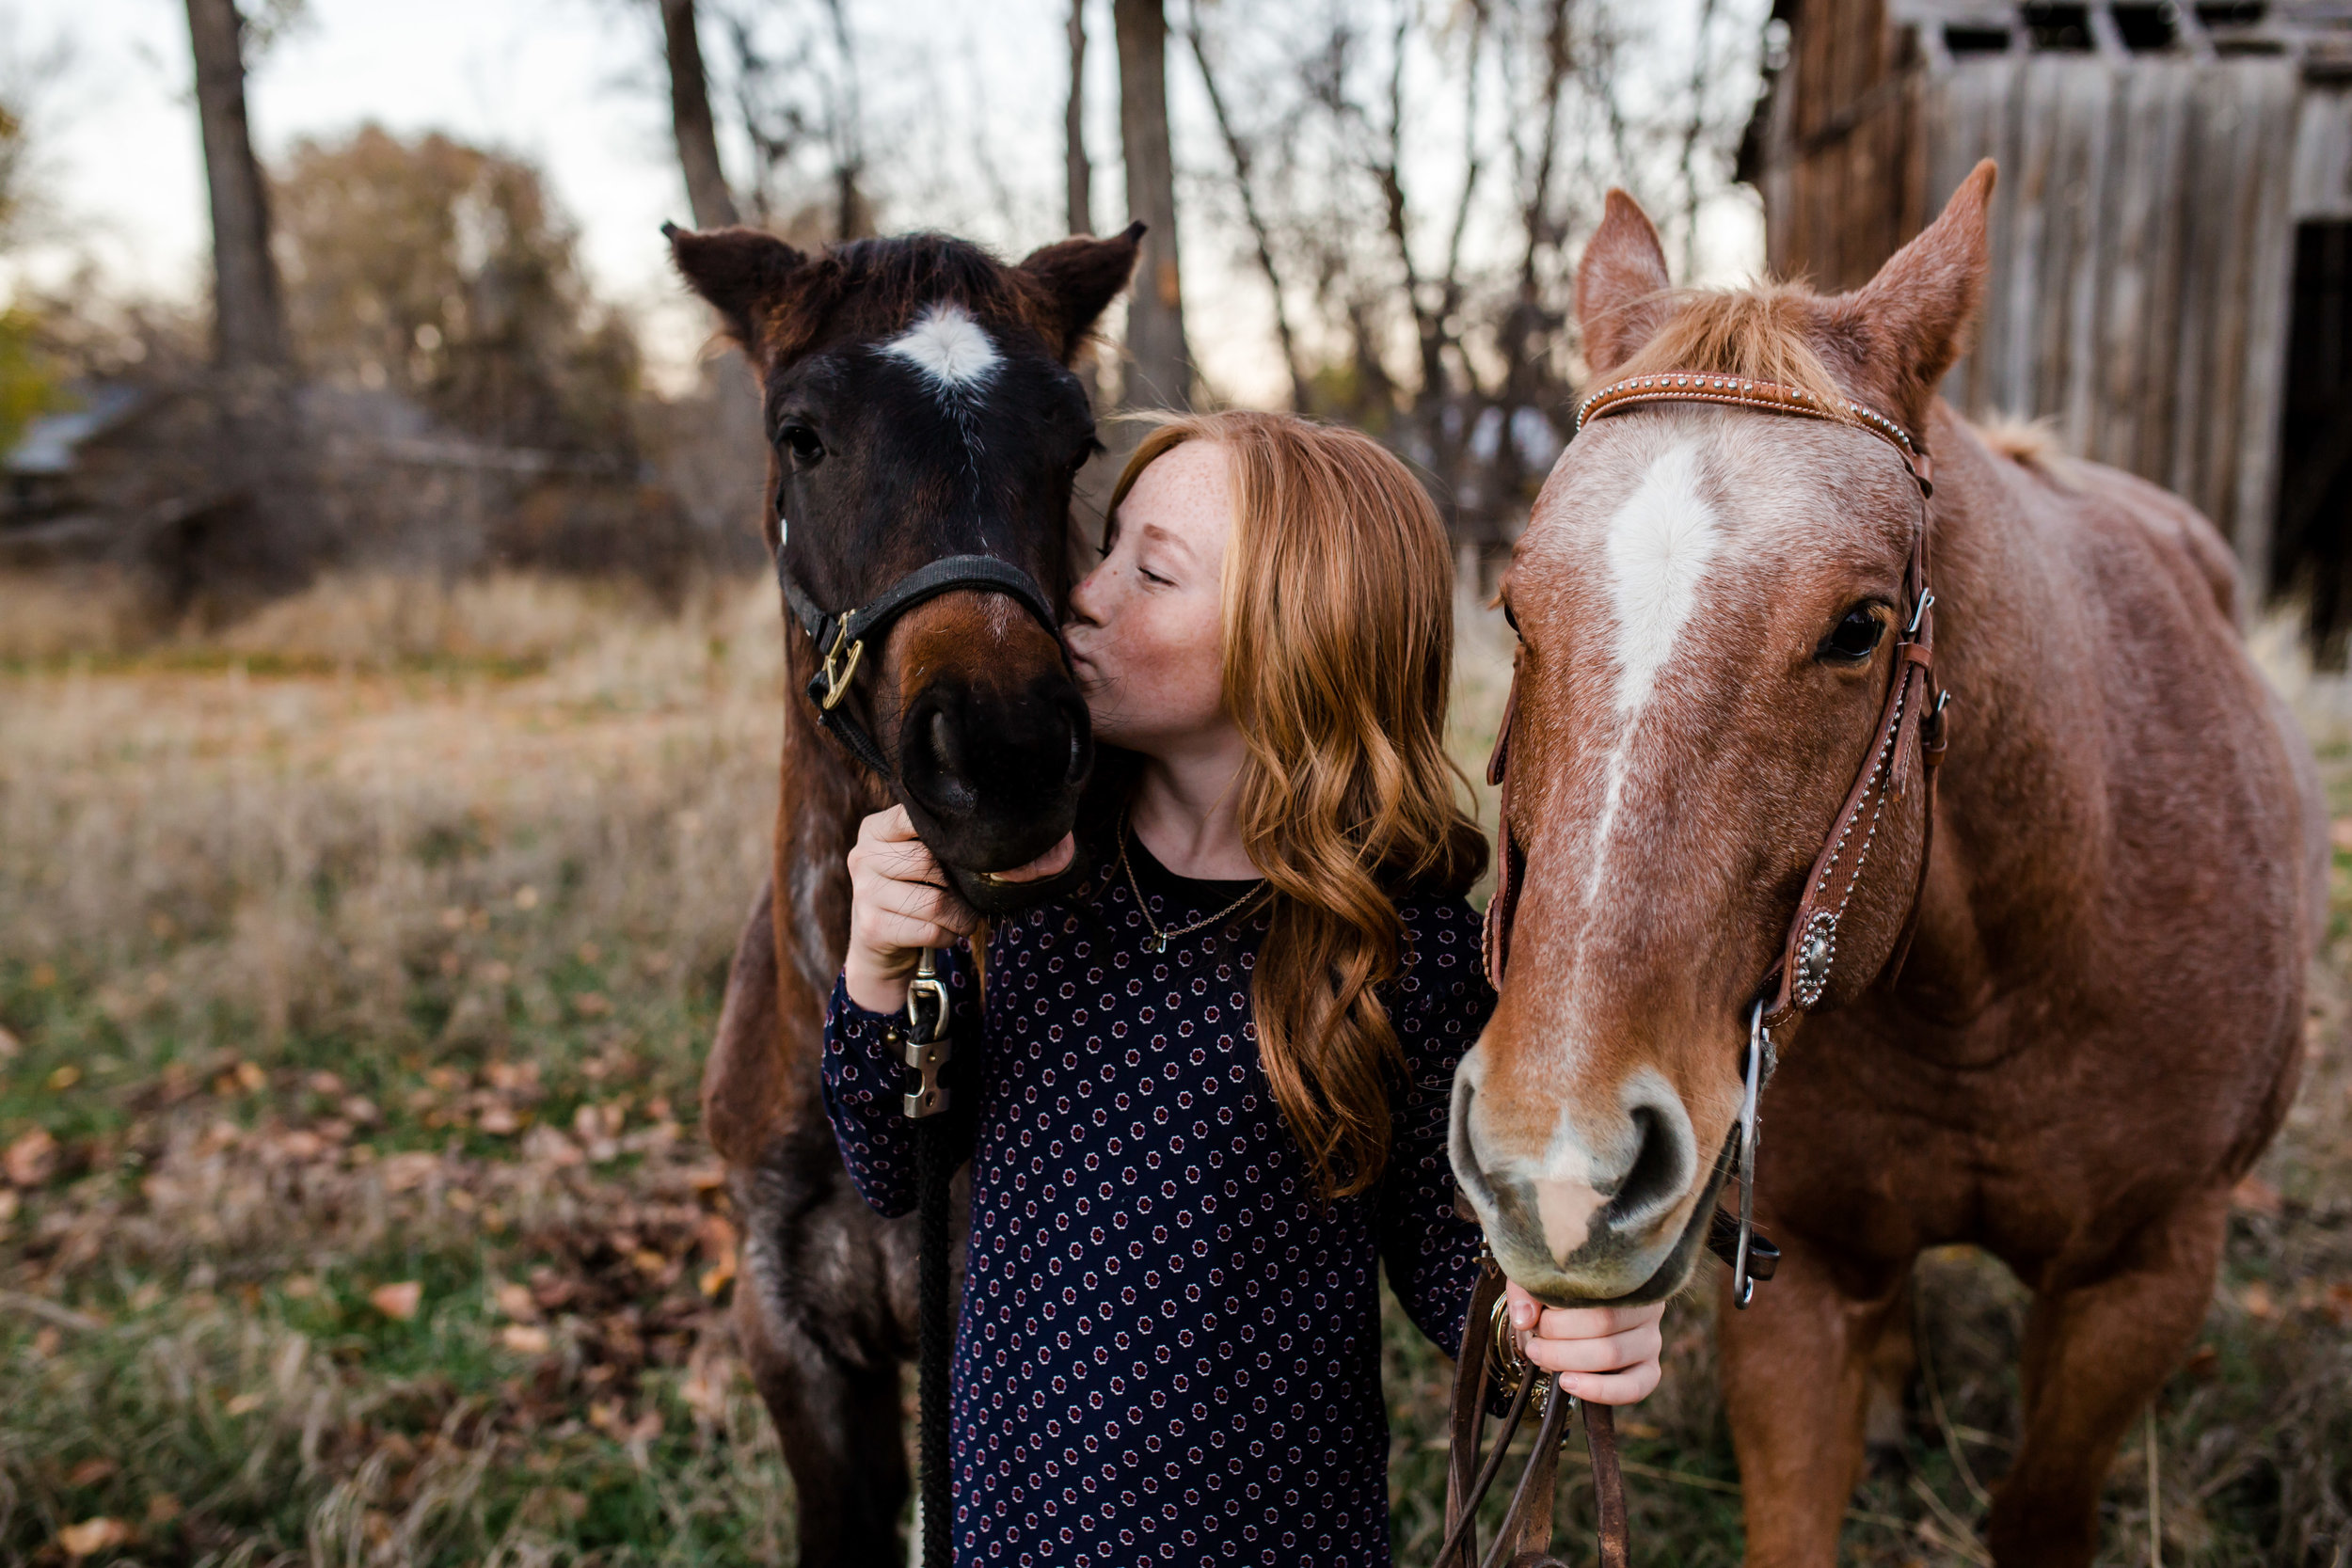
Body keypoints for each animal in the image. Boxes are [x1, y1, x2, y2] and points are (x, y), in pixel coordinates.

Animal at [1439, 166, 2324, 1560]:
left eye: (1859, 627)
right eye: (1516, 610)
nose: (1559, 1175)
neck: (2005, 973)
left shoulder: (2141, 1280)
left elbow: (2040, 1506)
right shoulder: (1799, 1287)